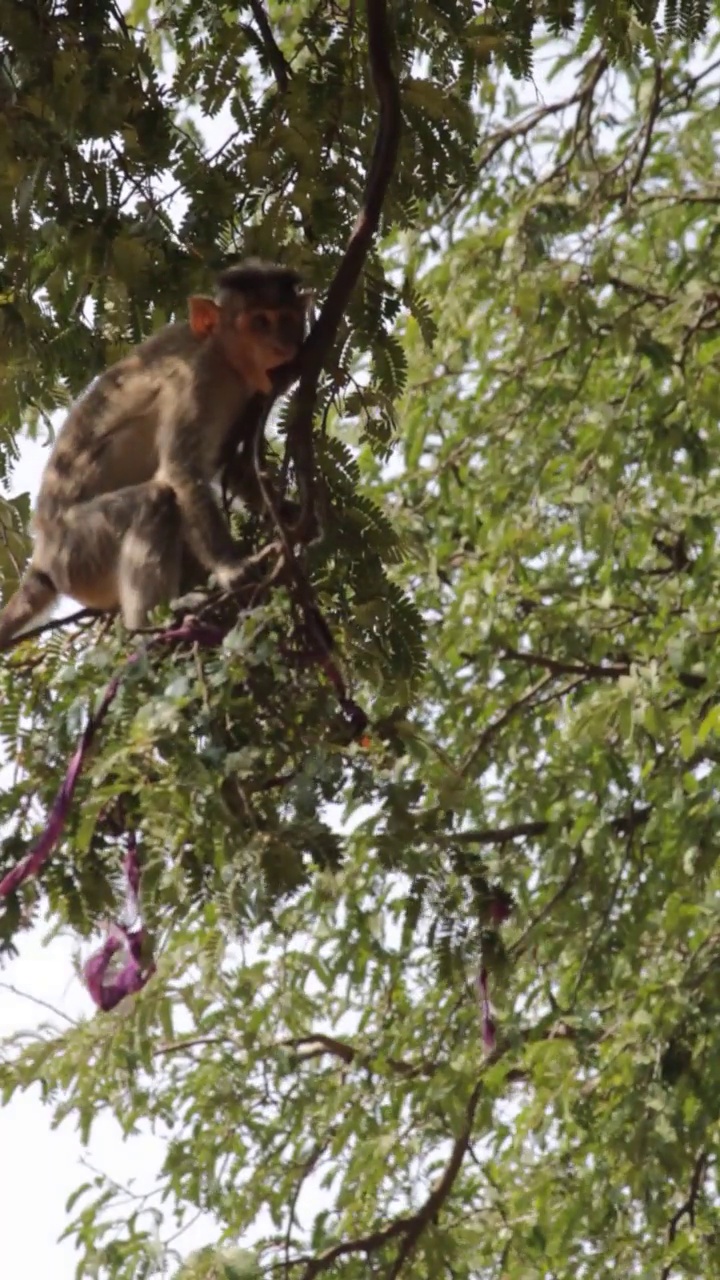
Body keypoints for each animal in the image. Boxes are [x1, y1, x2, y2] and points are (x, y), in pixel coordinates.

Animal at [0, 257, 307, 650]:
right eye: (260, 321)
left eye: (287, 318)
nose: (284, 341)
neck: (224, 358)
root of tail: (43, 557)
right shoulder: (199, 377)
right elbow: (180, 468)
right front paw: (230, 567)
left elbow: (234, 468)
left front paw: (291, 514)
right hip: (79, 551)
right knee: (155, 499)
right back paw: (151, 625)